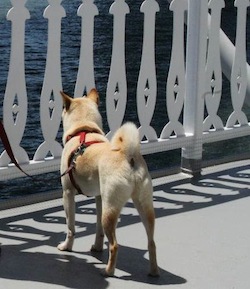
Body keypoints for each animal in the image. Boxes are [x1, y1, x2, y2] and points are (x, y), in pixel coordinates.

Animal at [57, 88, 159, 276]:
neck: (84, 129)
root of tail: (128, 155)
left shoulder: (67, 194)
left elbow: (70, 227)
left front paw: (67, 247)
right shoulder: (98, 197)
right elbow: (98, 230)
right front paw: (97, 248)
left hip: (110, 208)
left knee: (114, 245)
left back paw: (108, 271)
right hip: (144, 206)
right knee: (151, 242)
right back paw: (154, 272)